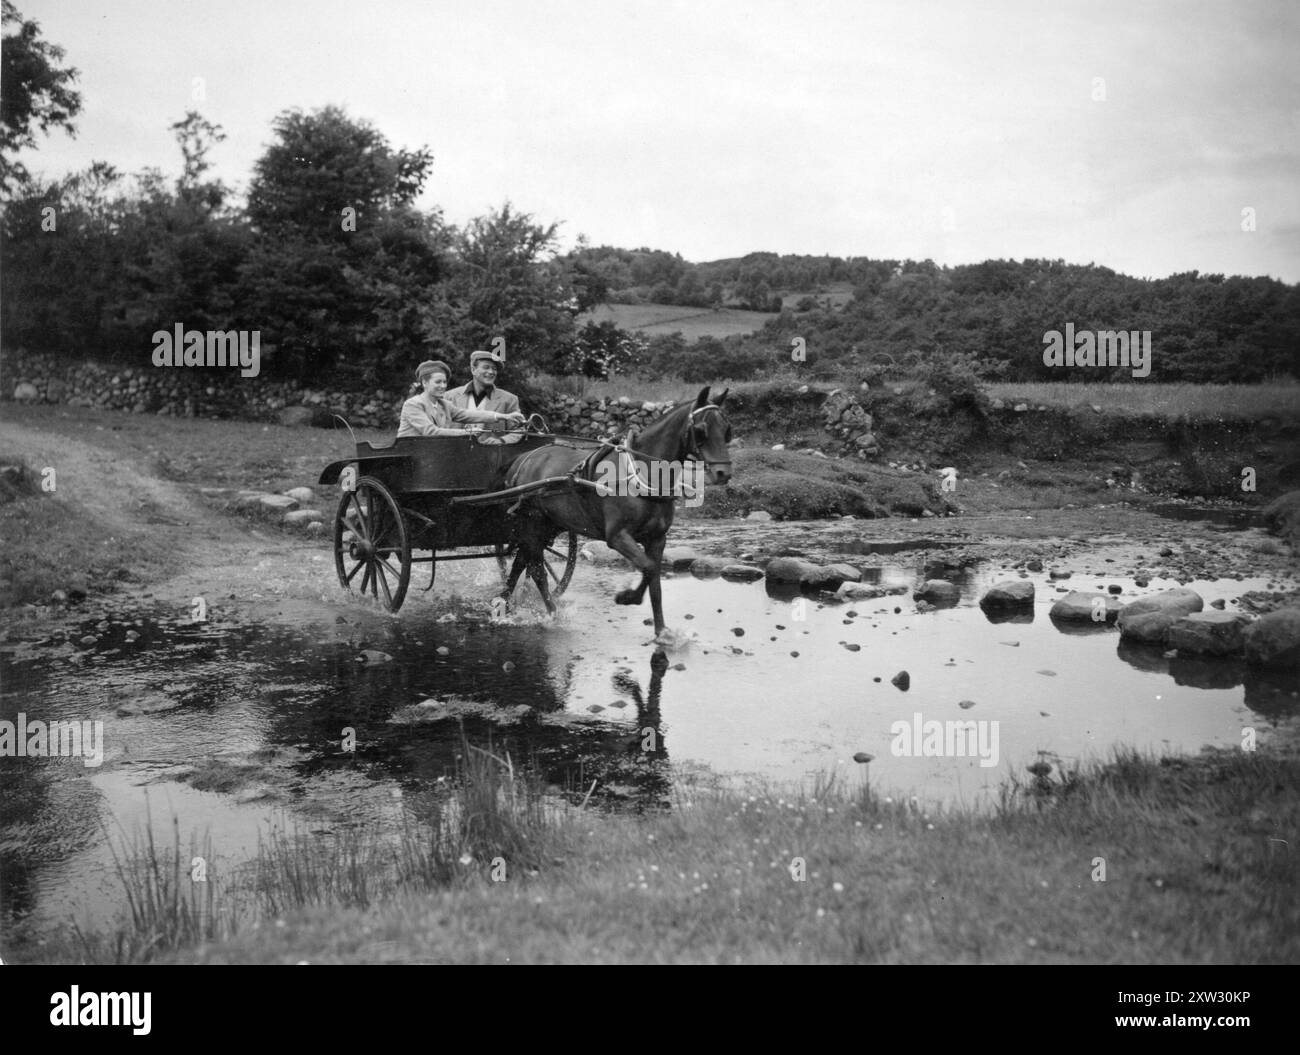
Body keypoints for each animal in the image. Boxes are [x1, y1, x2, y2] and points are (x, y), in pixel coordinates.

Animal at [499, 387, 733, 634]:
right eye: (701, 430)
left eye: (727, 429)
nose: (723, 473)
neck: (641, 473)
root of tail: (523, 459)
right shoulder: (618, 536)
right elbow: (649, 568)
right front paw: (628, 597)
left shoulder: (657, 538)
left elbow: (655, 584)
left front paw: (661, 631)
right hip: (532, 524)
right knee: (536, 570)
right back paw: (552, 614)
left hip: (548, 525)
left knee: (521, 563)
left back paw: (505, 604)